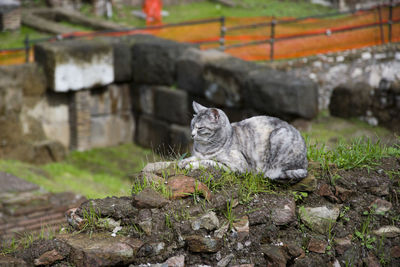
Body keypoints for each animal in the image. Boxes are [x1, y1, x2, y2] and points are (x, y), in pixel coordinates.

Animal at [179, 102, 310, 182]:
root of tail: (305, 161)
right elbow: (195, 157)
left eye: (200, 128)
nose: (192, 135)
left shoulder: (238, 167)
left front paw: (191, 165)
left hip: (278, 136)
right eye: (192, 125)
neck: (204, 148)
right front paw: (183, 162)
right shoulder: (199, 154)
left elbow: (209, 162)